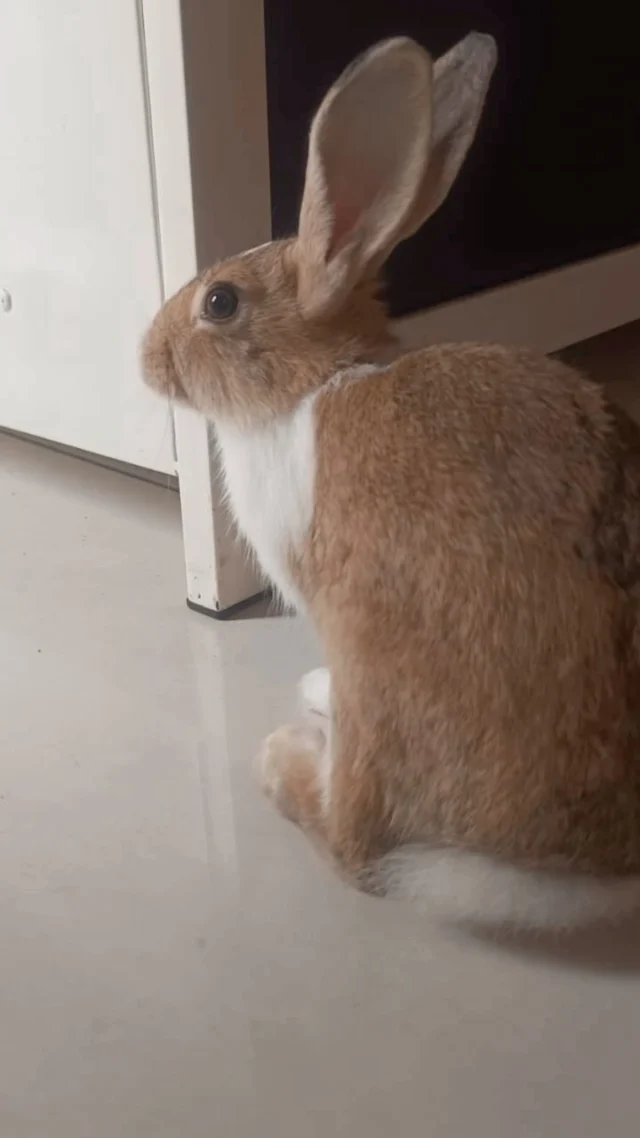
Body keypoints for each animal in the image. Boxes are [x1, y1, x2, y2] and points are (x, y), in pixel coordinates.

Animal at [141, 33, 640, 928]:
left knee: (357, 849)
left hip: (377, 685)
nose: (144, 355)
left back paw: (288, 755)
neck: (310, 384)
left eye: (220, 303)